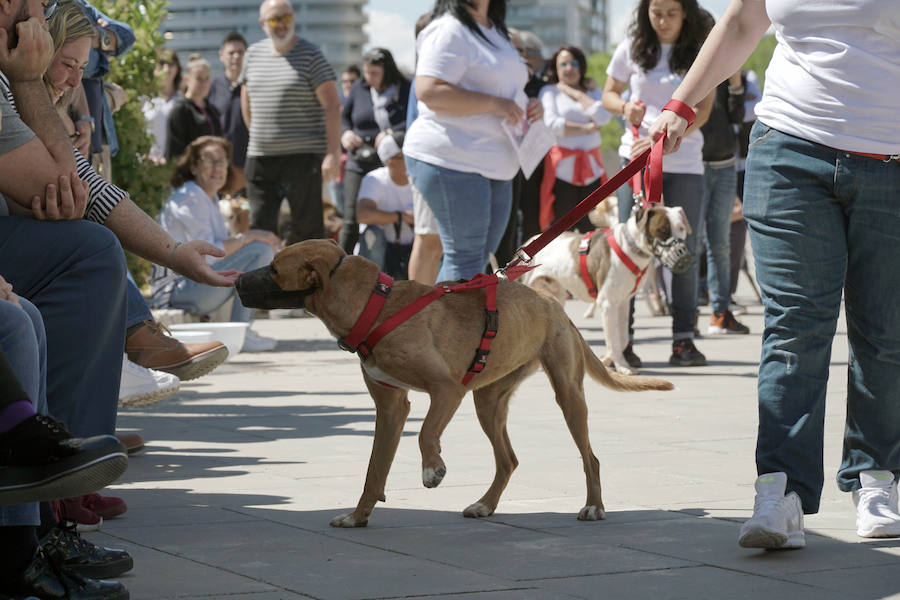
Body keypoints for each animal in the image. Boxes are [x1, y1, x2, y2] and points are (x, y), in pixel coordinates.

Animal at [236, 238, 672, 524]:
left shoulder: (446, 391)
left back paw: (594, 506)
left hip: (566, 394)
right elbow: (375, 469)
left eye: (274, 270)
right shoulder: (391, 407)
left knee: (589, 458)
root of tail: (552, 304)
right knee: (508, 459)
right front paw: (358, 516)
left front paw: (433, 470)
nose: (237, 280)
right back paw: (485, 505)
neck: (375, 306)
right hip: (488, 402)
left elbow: (426, 433)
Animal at [520, 206, 688, 376]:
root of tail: (526, 245)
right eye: (662, 229)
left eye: (681, 228)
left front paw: (608, 359)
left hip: (556, 293)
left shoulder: (623, 302)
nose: (683, 255)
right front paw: (622, 367)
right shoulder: (608, 303)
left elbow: (622, 338)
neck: (631, 247)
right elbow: (614, 339)